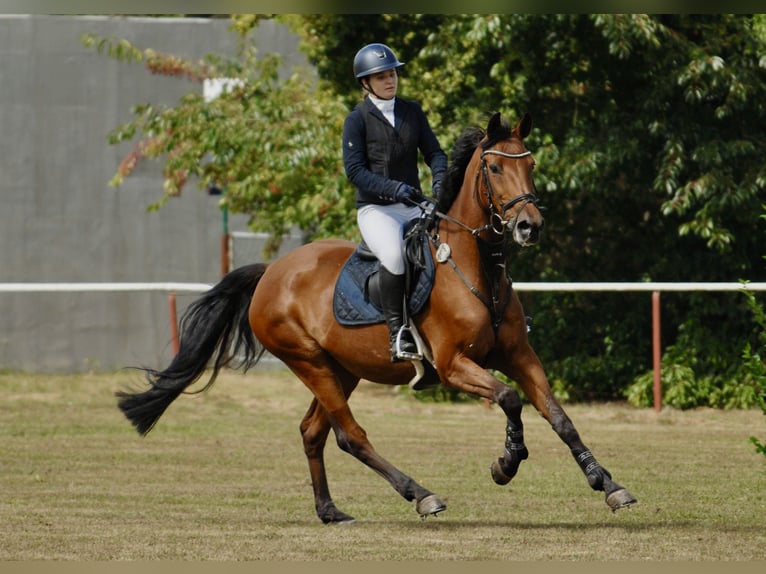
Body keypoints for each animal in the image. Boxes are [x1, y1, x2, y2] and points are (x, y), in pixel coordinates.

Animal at [117, 111, 637, 524]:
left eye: (530, 165)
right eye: (493, 167)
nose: (530, 226)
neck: (477, 269)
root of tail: (272, 273)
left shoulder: (519, 355)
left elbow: (558, 415)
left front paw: (608, 484)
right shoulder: (454, 366)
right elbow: (510, 399)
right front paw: (506, 464)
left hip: (340, 369)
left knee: (313, 432)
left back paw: (330, 511)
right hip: (309, 362)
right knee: (350, 435)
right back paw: (421, 495)